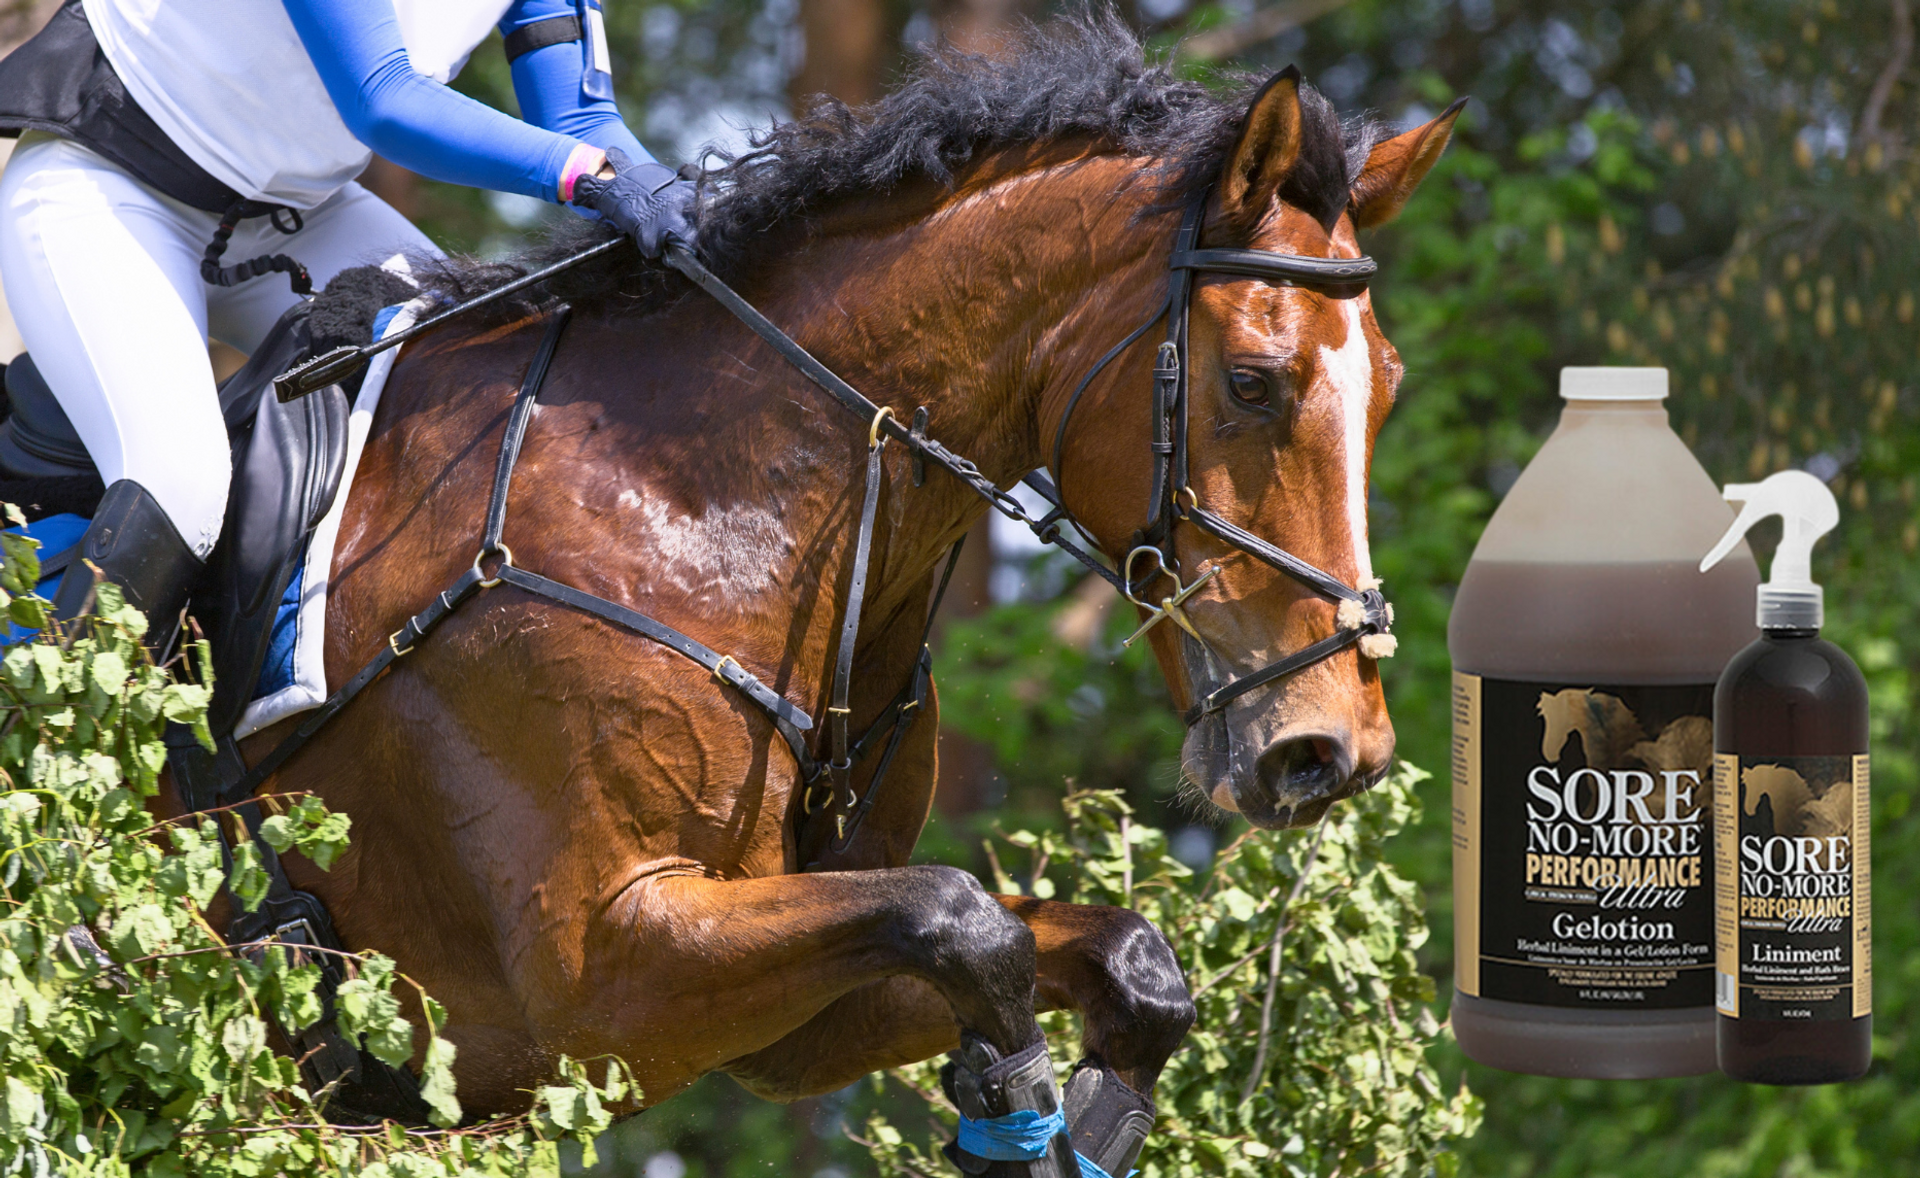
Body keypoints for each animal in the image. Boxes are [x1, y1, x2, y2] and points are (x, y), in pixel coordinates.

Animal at [210, 16, 1460, 1141]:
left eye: (1391, 385)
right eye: (1252, 381)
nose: (1334, 749)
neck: (699, 497)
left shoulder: (791, 1022)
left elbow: (1121, 961)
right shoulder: (601, 976)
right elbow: (966, 920)